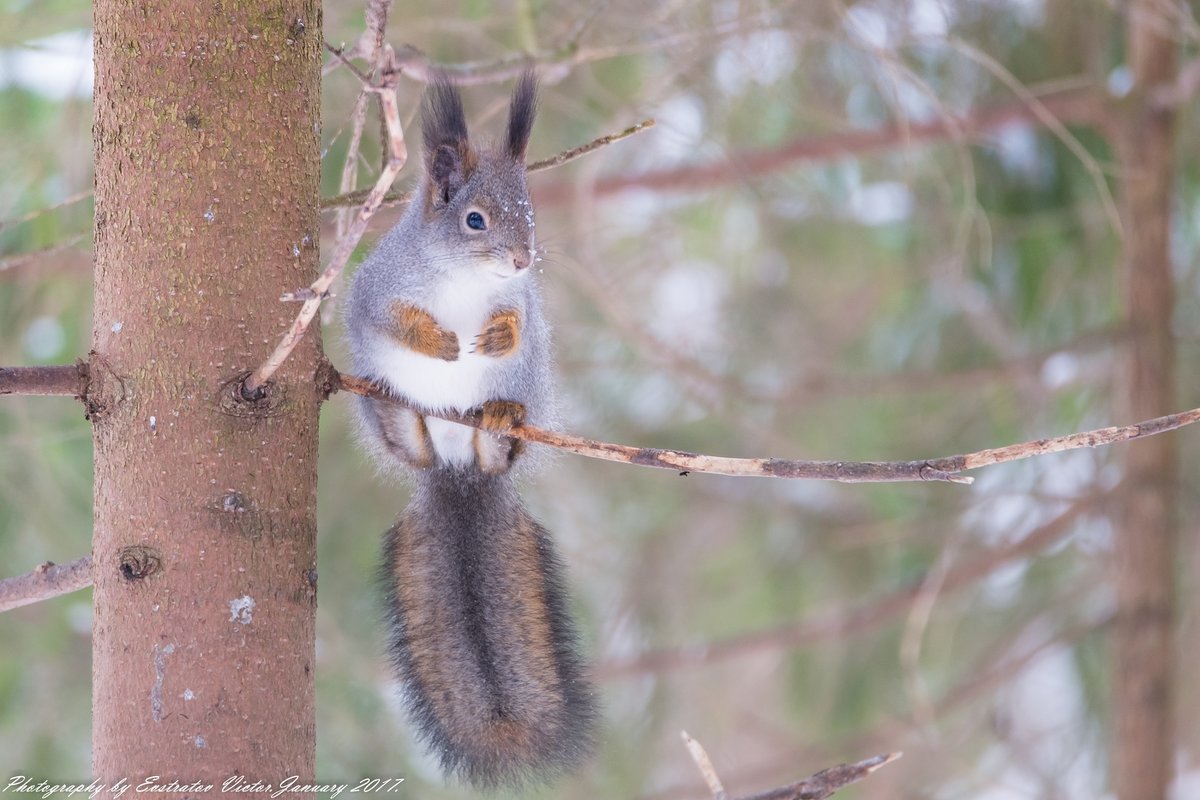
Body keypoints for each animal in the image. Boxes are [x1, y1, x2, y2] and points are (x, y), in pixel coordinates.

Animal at [343, 70, 595, 786]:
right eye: (474, 219)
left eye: (530, 210)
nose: (523, 258)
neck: (463, 280)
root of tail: (457, 469)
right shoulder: (374, 290)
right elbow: (390, 319)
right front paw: (437, 341)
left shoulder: (525, 305)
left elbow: (520, 322)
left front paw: (495, 334)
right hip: (389, 413)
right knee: (406, 438)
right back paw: (404, 414)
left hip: (516, 409)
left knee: (499, 445)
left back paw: (501, 422)